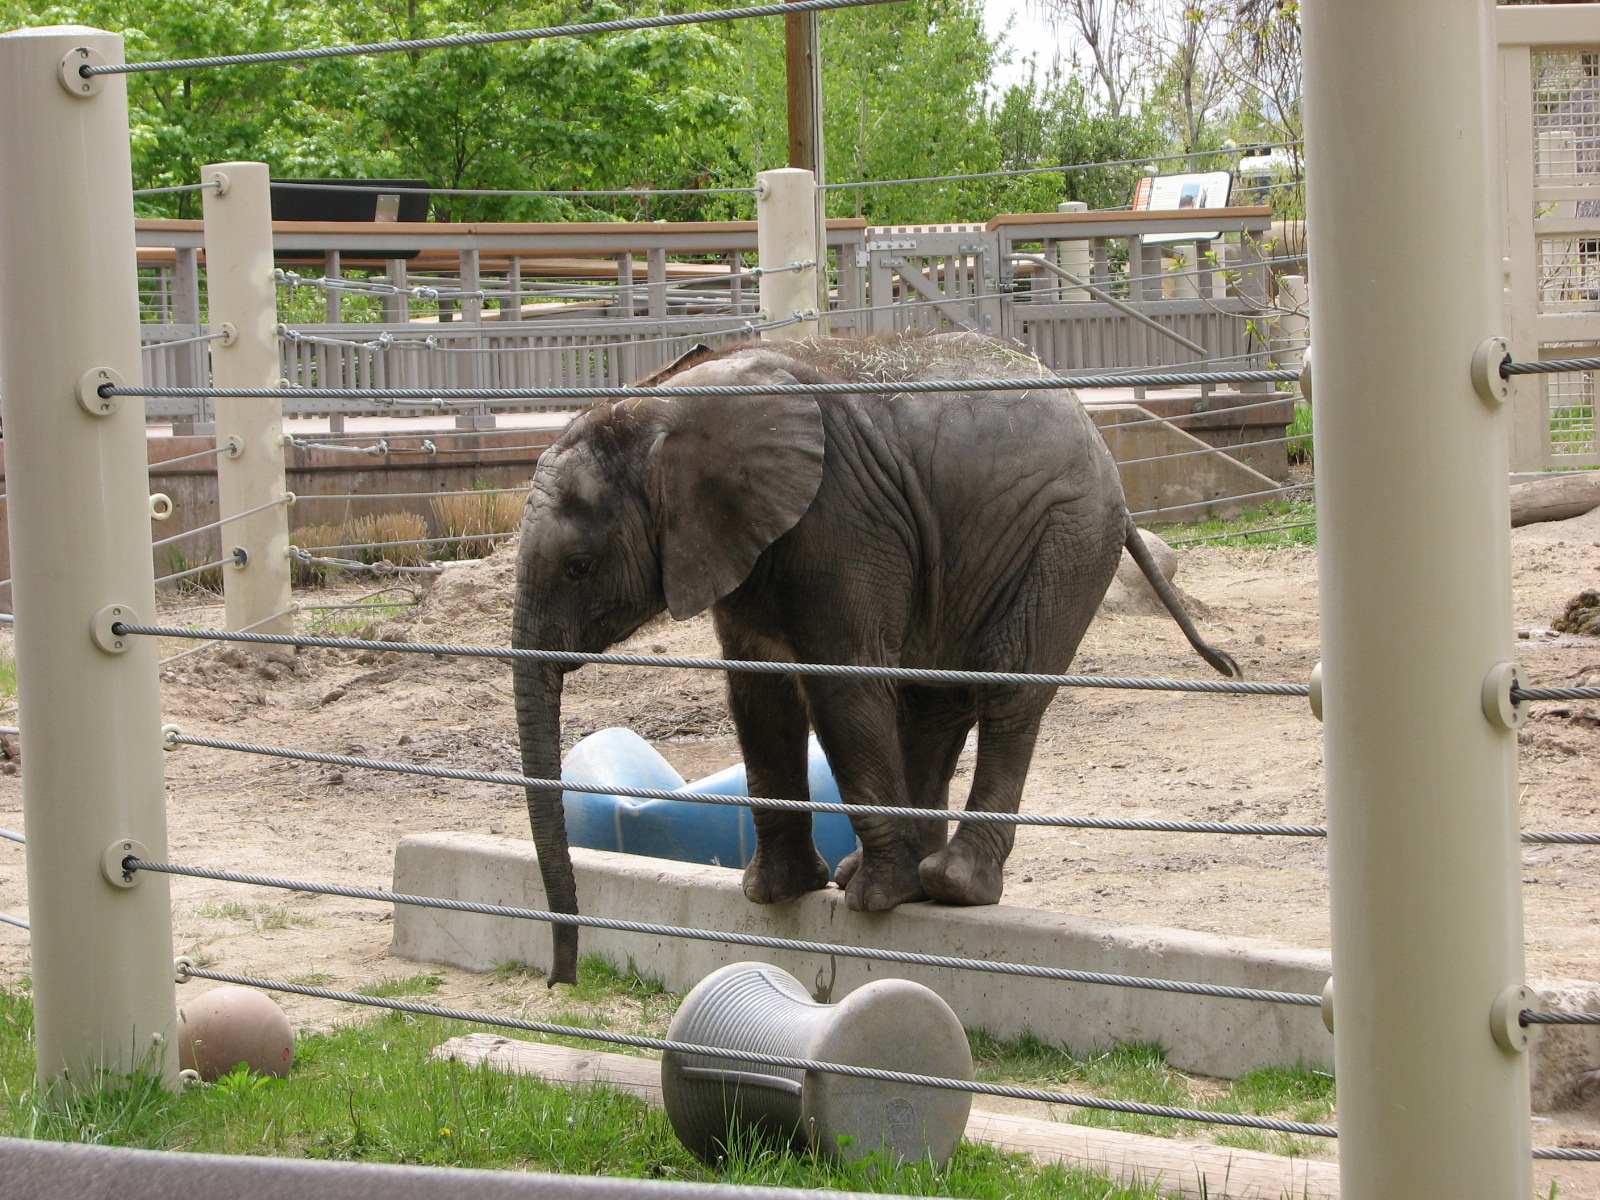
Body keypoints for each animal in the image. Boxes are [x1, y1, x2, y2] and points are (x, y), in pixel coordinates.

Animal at [511, 332, 1239, 984]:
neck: (662, 407)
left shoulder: (841, 519)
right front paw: (776, 894)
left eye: (580, 567)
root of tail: (1092, 426)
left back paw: (946, 885)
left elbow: (842, 689)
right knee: (932, 705)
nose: (559, 980)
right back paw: (900, 877)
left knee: (1007, 692)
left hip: (1066, 536)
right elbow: (758, 697)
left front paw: (871, 903)